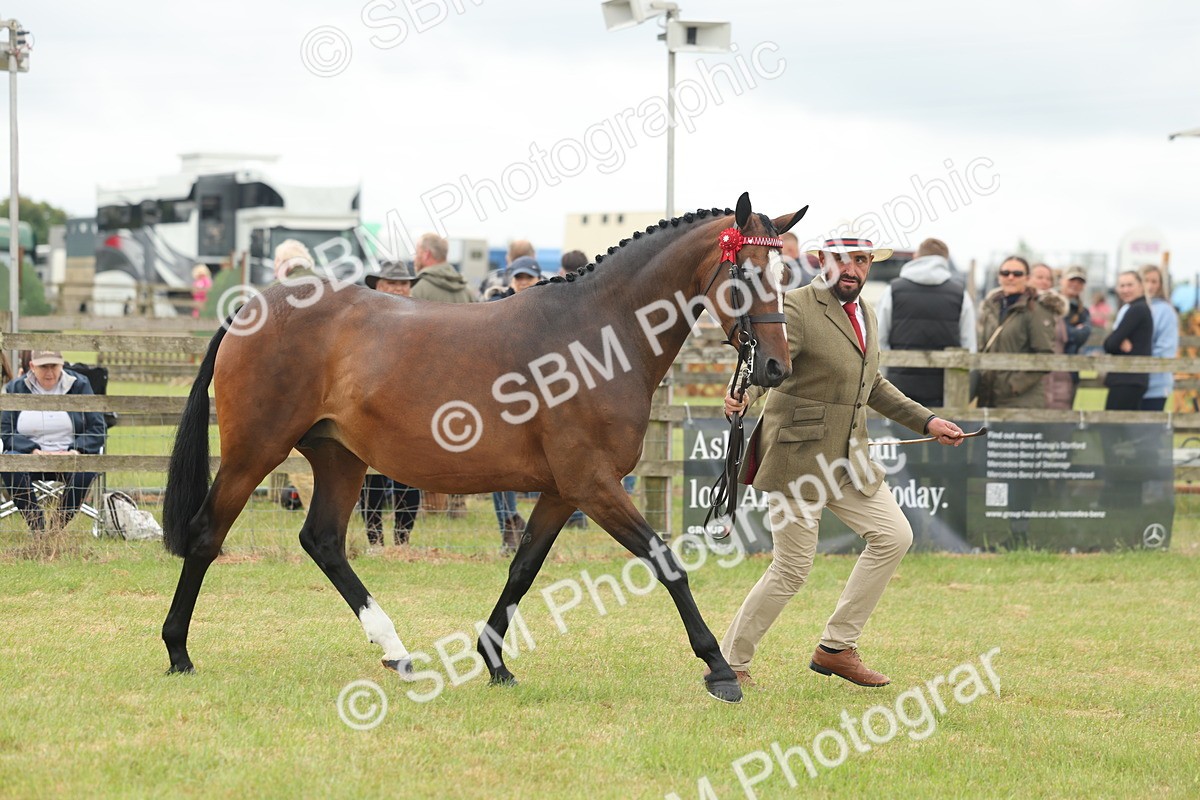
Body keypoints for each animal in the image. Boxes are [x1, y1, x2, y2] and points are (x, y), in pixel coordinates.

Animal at [161, 193, 805, 704]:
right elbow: (665, 562)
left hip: (340, 457)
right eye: (746, 274)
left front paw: (494, 661)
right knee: (207, 534)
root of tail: (252, 308)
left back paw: (396, 651)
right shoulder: (592, 485)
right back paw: (178, 652)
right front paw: (719, 670)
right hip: (255, 452)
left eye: (785, 274)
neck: (598, 336)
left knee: (322, 541)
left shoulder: (562, 492)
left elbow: (522, 569)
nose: (775, 367)